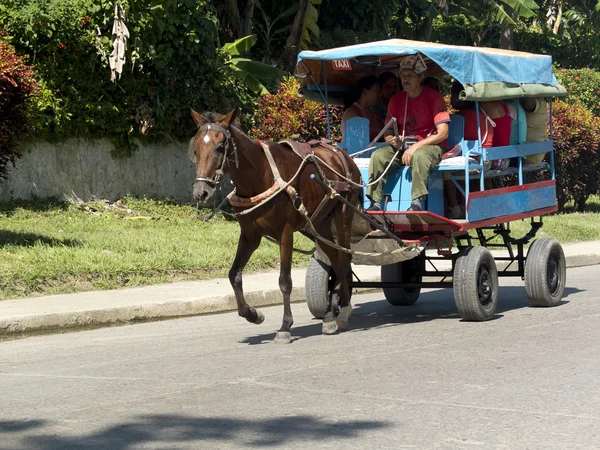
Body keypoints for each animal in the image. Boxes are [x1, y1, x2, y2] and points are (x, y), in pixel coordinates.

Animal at [191, 109, 360, 344]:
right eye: (196, 148)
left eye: (220, 147)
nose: (201, 192)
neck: (260, 175)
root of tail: (343, 155)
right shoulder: (250, 236)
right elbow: (234, 274)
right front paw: (252, 314)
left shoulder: (285, 233)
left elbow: (284, 281)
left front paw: (285, 326)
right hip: (320, 223)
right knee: (336, 259)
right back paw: (335, 310)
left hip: (343, 215)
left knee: (344, 258)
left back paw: (339, 311)